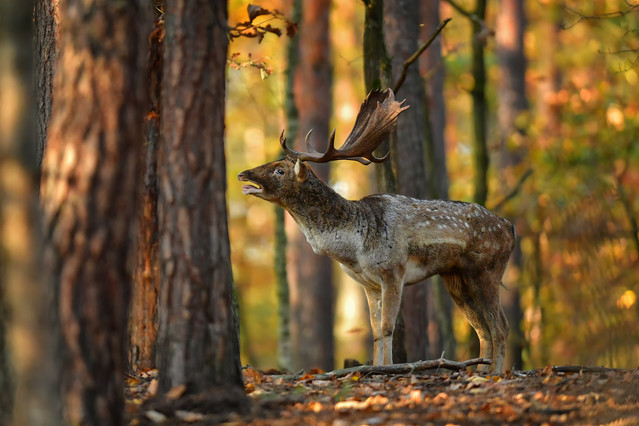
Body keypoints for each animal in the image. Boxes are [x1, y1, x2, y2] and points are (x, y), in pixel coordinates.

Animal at [239, 90, 516, 372]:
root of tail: (509, 227)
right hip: (456, 278)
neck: (354, 249)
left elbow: (386, 327)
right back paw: (480, 371)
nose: (243, 174)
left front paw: (390, 369)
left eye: (279, 170)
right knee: (482, 329)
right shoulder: (368, 283)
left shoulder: (393, 271)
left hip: (487, 270)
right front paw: (375, 367)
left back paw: (493, 373)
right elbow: (374, 330)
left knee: (500, 327)